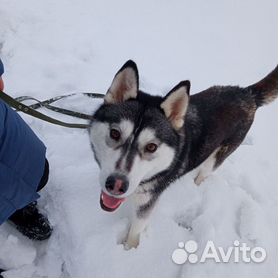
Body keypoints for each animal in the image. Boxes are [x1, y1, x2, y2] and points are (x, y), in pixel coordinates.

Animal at [89, 60, 278, 250]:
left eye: (151, 147)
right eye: (114, 133)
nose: (116, 184)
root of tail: (246, 93)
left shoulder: (147, 202)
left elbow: (135, 230)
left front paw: (130, 249)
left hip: (216, 158)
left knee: (204, 173)